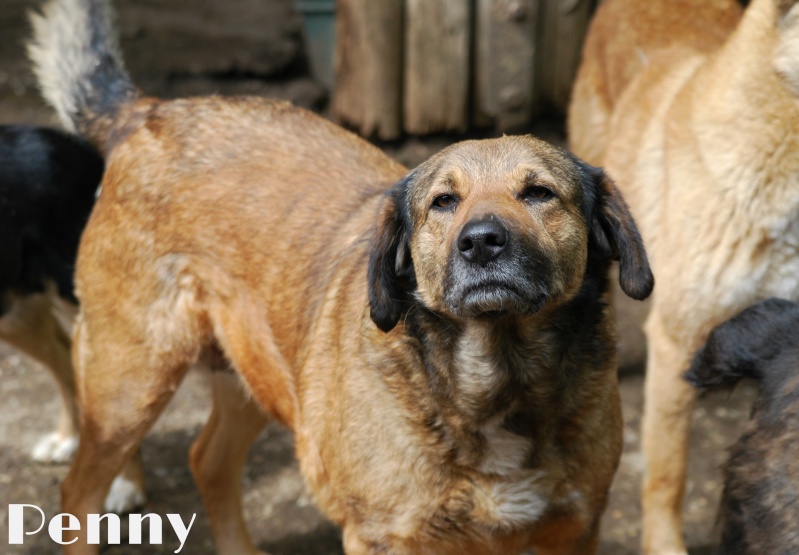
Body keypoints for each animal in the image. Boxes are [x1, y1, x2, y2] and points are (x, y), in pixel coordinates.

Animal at [32, 1, 656, 555]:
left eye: (539, 193)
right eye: (443, 202)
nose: (480, 242)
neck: (497, 385)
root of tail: (149, 113)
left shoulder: (575, 529)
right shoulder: (383, 537)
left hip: (255, 368)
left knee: (206, 461)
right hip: (128, 385)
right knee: (76, 495)